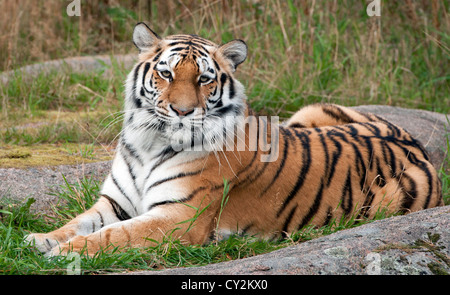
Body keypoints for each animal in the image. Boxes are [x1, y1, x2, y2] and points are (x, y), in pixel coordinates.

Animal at [25, 22, 442, 256]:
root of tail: (416, 143)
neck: (149, 142)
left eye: (204, 79)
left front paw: (67, 253)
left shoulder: (179, 216)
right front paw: (41, 239)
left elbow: (114, 235)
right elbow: (78, 222)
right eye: (166, 73)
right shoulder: (114, 202)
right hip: (310, 111)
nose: (182, 111)